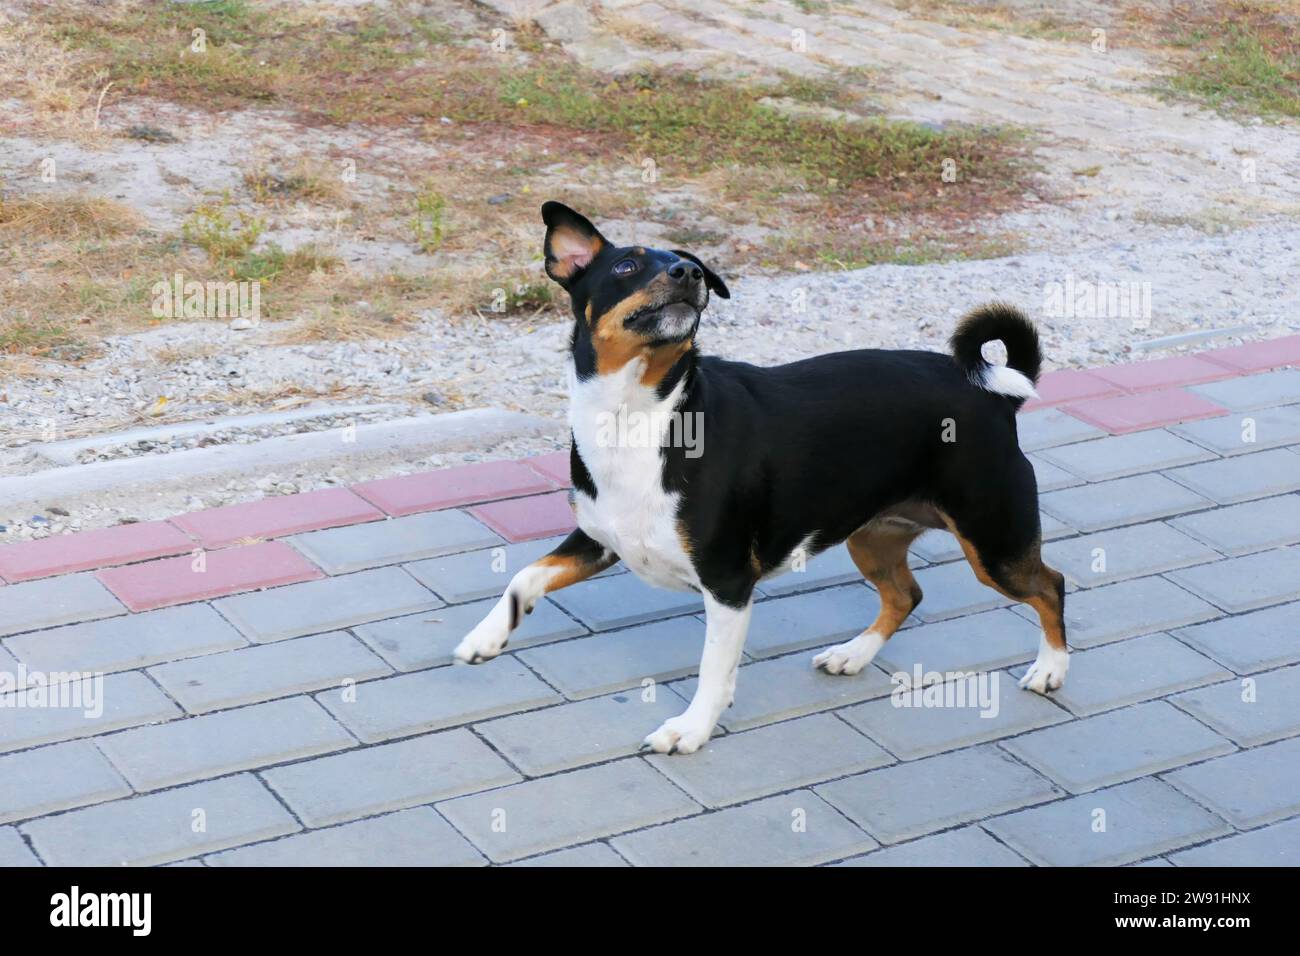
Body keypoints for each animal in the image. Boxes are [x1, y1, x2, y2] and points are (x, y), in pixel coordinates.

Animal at [454, 201, 1066, 754]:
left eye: (690, 266)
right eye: (627, 266)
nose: (688, 273)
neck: (640, 415)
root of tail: (994, 393)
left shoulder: (728, 584)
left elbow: (712, 668)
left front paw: (690, 730)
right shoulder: (600, 539)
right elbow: (524, 576)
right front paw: (487, 637)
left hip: (995, 543)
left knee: (1049, 585)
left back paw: (1051, 669)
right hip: (874, 536)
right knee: (906, 594)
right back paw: (852, 654)